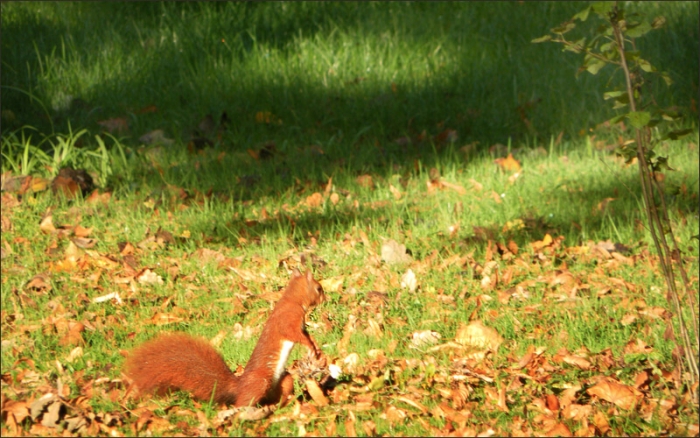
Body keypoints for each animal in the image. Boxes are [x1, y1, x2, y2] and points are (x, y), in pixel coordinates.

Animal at [124, 269, 325, 408]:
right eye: (318, 288)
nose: (325, 297)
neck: (292, 300)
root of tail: (238, 387)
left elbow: (306, 335)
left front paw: (315, 347)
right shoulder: (288, 320)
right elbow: (295, 335)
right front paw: (309, 346)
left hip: (284, 380)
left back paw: (282, 404)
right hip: (259, 383)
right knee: (243, 403)